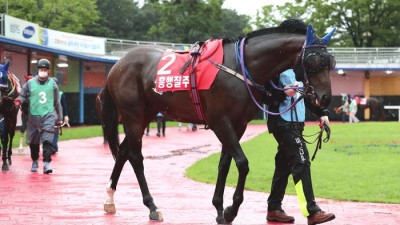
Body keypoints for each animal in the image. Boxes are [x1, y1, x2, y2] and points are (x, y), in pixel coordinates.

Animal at [101, 19, 336, 223]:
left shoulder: (237, 125)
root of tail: (117, 66)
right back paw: (151, 206)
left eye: (330, 62)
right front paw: (231, 210)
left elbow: (225, 163)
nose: (325, 98)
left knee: (123, 152)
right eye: (313, 60)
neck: (241, 66)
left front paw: (219, 208)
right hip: (133, 115)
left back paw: (110, 200)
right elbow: (242, 163)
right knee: (135, 157)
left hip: (146, 115)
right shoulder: (220, 122)